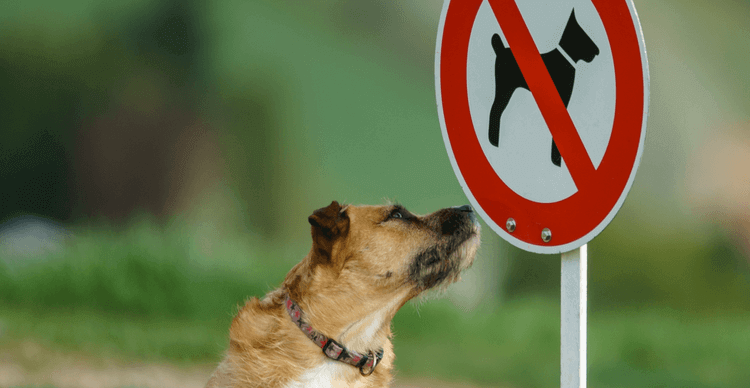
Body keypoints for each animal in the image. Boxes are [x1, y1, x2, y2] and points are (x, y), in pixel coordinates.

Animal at [490, 9, 604, 167]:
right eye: (580, 34)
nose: (597, 51)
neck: (565, 58)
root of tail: (500, 50)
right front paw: (556, 161)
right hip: (505, 89)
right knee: (495, 110)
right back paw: (494, 144)